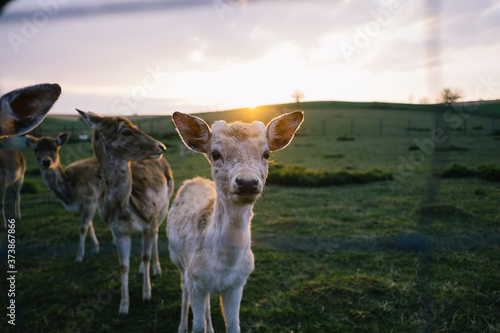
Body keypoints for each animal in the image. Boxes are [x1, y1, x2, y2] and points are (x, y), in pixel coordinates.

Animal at [0, 84, 61, 227]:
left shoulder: (3, 182)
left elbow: (1, 203)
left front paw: (4, 225)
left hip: (20, 178)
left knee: (17, 195)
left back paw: (16, 216)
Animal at [76, 109, 174, 320]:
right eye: (126, 131)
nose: (161, 146)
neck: (124, 206)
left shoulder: (150, 219)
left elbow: (145, 256)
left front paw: (147, 296)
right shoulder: (118, 230)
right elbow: (123, 265)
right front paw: (123, 308)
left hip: (164, 207)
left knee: (155, 237)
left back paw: (156, 269)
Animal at [168, 110, 302, 330]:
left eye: (267, 153)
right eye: (215, 154)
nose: (247, 182)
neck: (224, 265)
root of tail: (194, 179)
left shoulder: (238, 283)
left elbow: (233, 326)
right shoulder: (194, 278)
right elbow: (198, 326)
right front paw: (193, 327)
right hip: (179, 263)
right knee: (184, 290)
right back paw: (181, 327)